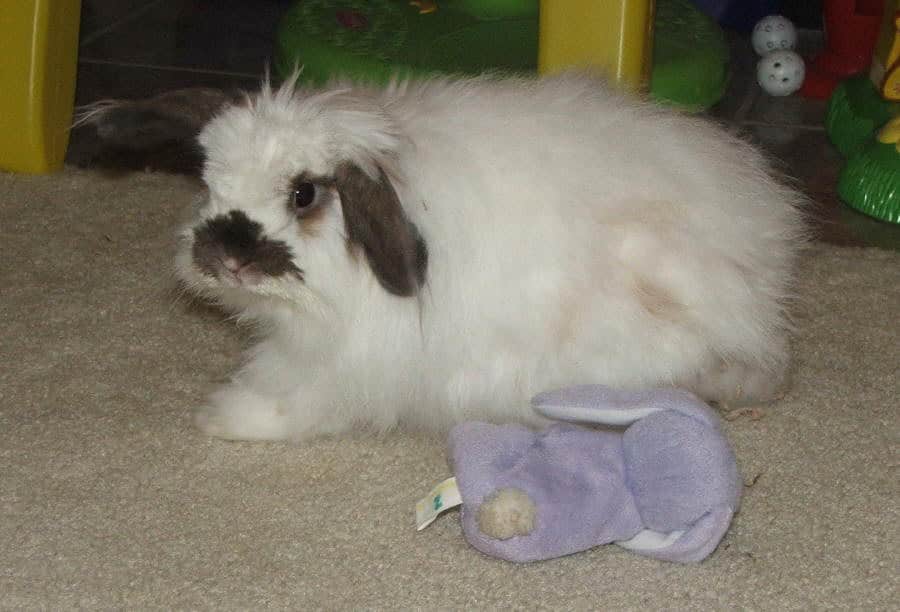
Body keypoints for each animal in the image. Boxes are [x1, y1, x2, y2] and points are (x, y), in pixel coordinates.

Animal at [165, 73, 804, 440]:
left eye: (303, 195)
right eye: (209, 182)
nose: (224, 258)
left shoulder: (339, 364)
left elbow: (291, 402)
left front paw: (220, 418)